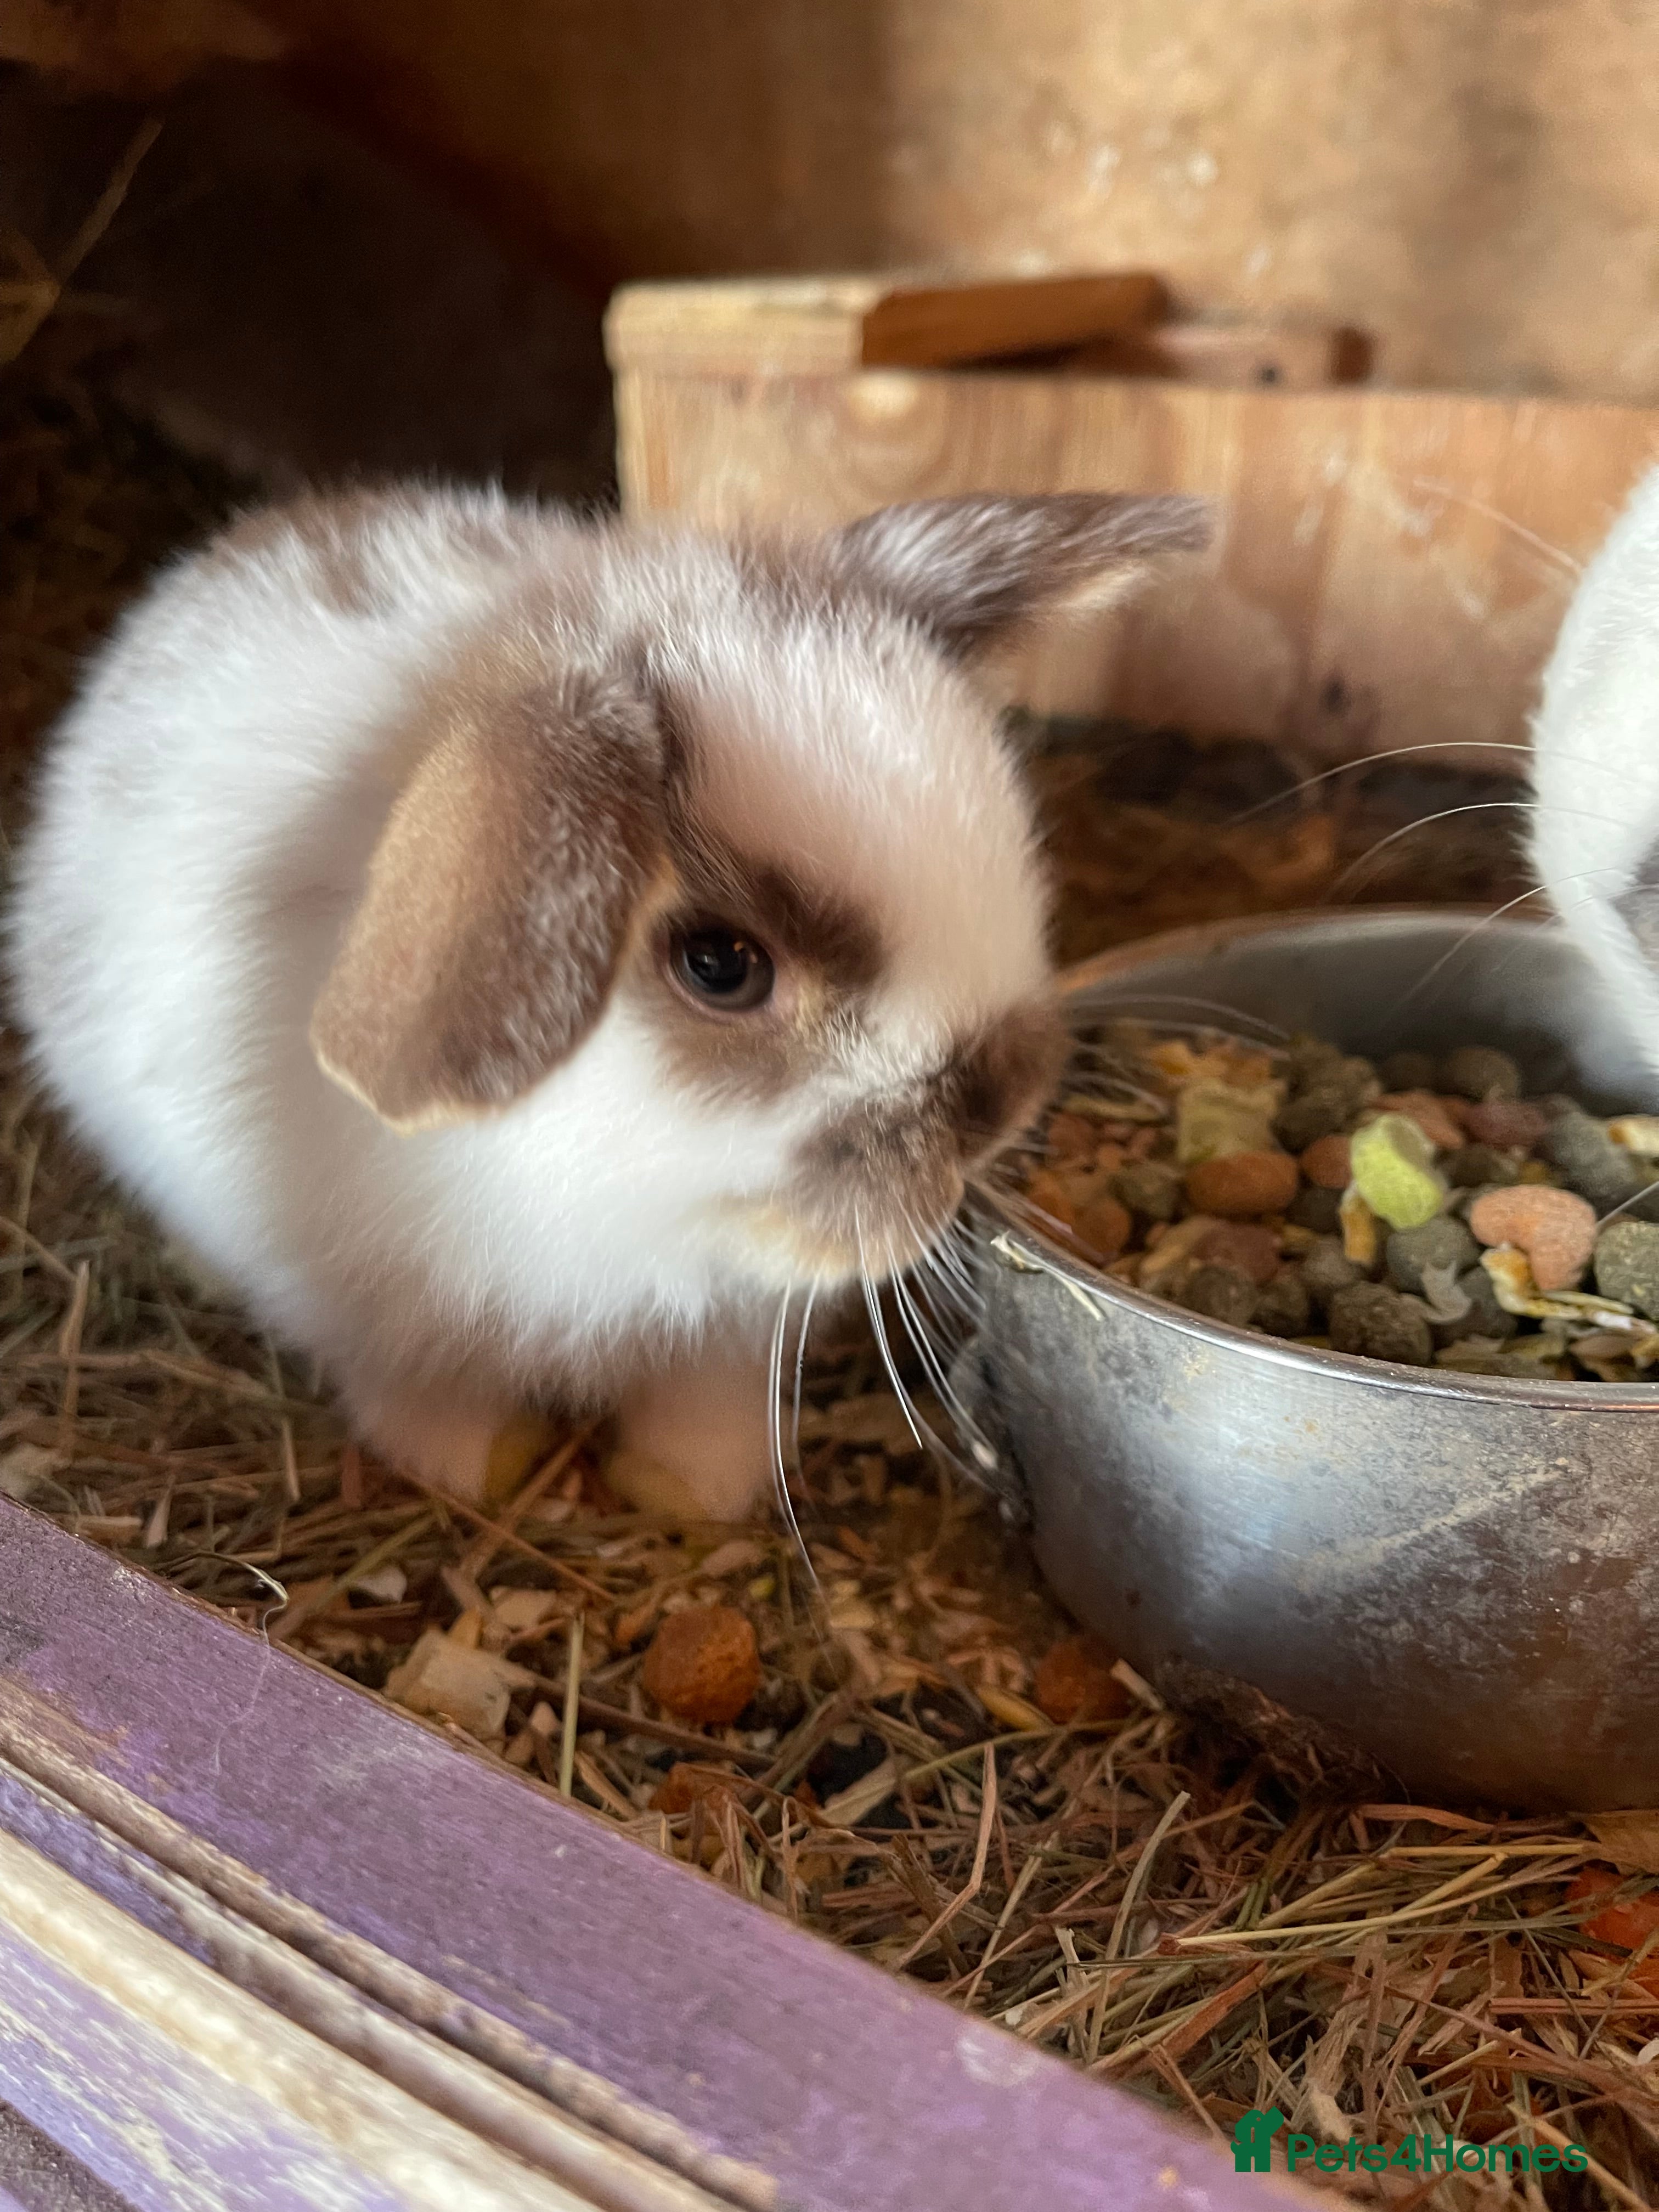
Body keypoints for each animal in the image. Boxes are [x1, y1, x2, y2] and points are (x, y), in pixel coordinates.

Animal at [9, 483, 1209, 1519]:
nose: (997, 1105)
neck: (608, 1197)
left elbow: (702, 1404)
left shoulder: (723, 1329)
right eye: (721, 964)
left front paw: (690, 1494)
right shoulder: (368, 1315)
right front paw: (477, 1471)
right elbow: (427, 1398)